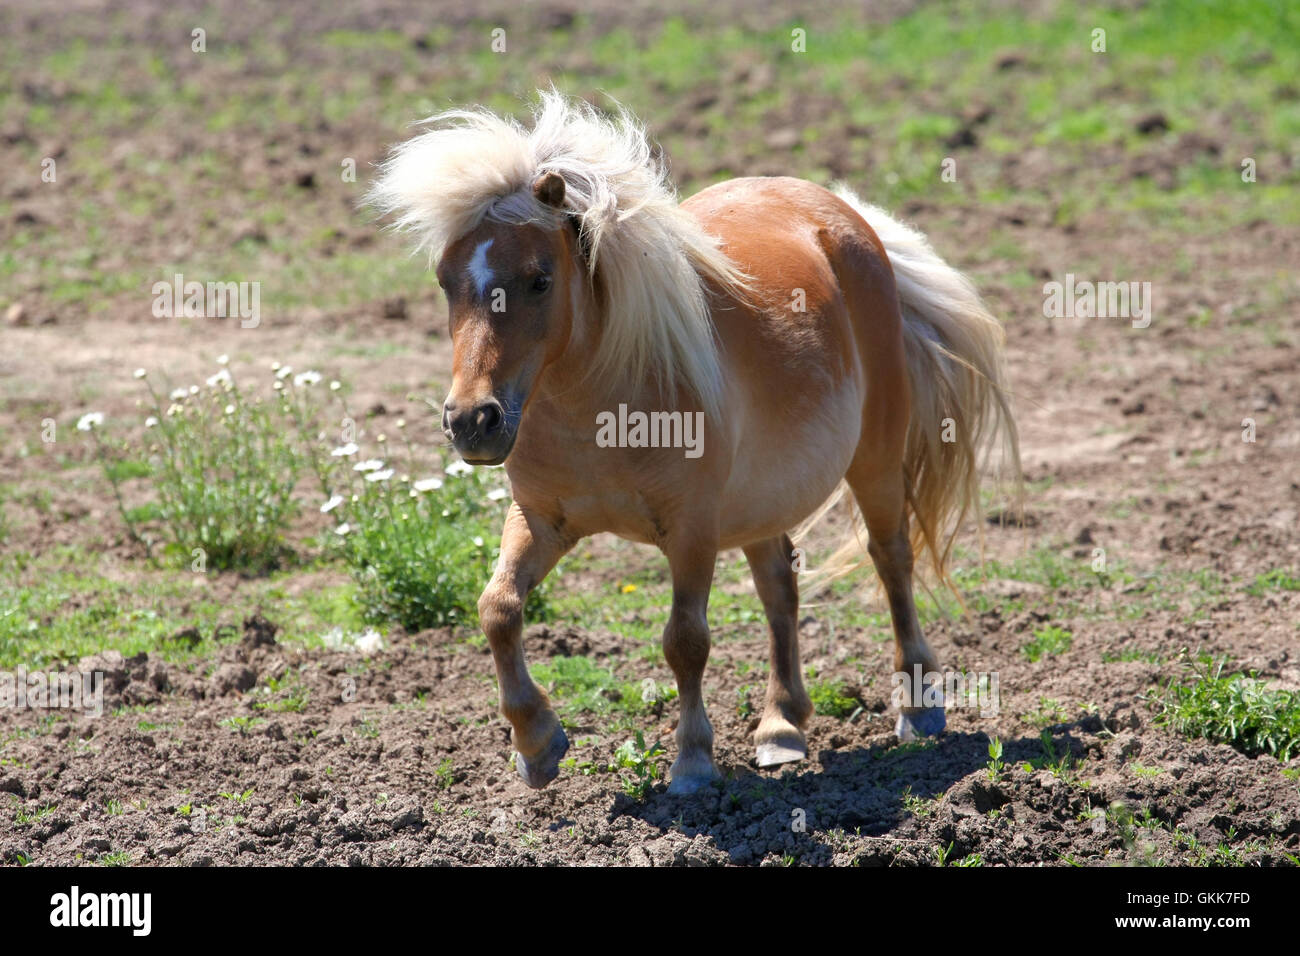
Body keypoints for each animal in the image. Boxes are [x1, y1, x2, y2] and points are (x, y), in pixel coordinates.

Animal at [370, 91, 1019, 795]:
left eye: (539, 279)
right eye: (445, 281)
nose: (472, 421)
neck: (597, 406)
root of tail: (848, 218)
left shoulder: (692, 529)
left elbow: (684, 640)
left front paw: (692, 763)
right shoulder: (541, 521)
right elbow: (498, 609)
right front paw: (537, 744)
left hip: (874, 459)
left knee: (891, 558)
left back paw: (918, 709)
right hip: (766, 495)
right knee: (779, 587)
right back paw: (781, 726)